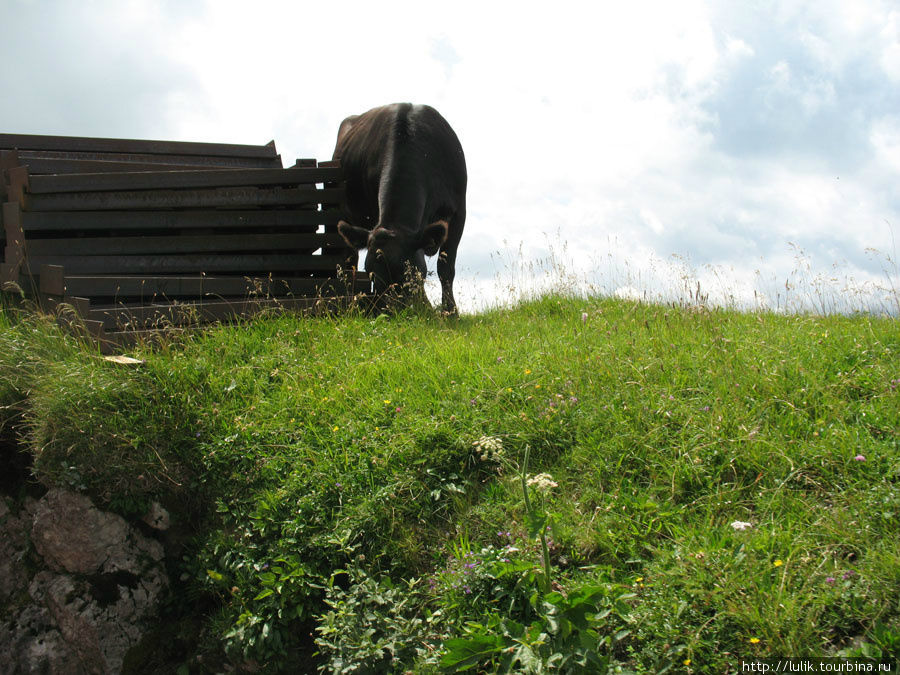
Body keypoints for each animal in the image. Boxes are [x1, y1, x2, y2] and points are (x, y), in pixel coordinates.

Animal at [334, 103, 468, 314]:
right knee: (349, 261)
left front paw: (450, 312)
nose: (388, 313)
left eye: (407, 273)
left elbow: (445, 268)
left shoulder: (458, 212)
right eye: (371, 273)